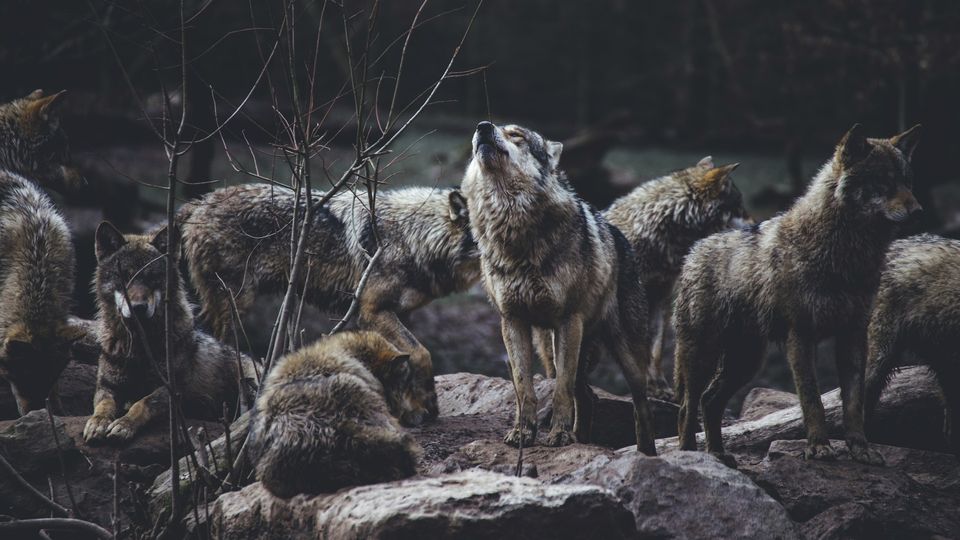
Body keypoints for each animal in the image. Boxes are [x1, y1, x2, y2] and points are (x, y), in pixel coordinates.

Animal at [83, 222, 259, 443]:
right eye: (125, 276)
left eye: (153, 278)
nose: (138, 307)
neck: (140, 347)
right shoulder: (107, 386)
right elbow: (103, 405)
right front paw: (97, 423)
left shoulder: (172, 390)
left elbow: (142, 403)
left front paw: (124, 424)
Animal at [178, 184, 479, 425]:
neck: (414, 236)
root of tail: (200, 202)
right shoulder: (372, 311)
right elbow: (422, 353)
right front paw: (428, 405)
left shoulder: (401, 314)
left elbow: (407, 361)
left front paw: (415, 408)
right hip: (234, 305)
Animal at [461, 120, 656, 453]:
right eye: (491, 127)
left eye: (517, 135)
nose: (483, 127)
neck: (513, 230)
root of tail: (620, 236)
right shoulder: (512, 321)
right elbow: (523, 387)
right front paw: (523, 433)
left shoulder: (567, 320)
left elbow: (561, 390)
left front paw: (561, 436)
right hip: (553, 348)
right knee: (588, 396)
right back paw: (583, 440)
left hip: (624, 353)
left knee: (640, 406)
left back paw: (646, 453)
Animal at [674, 124, 921, 466]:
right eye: (883, 181)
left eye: (907, 181)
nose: (918, 211)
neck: (845, 255)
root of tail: (694, 250)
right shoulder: (800, 336)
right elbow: (812, 400)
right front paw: (818, 447)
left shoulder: (853, 336)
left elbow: (853, 404)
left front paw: (861, 449)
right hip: (704, 355)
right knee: (688, 405)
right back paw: (690, 455)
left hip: (746, 362)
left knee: (710, 401)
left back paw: (719, 455)